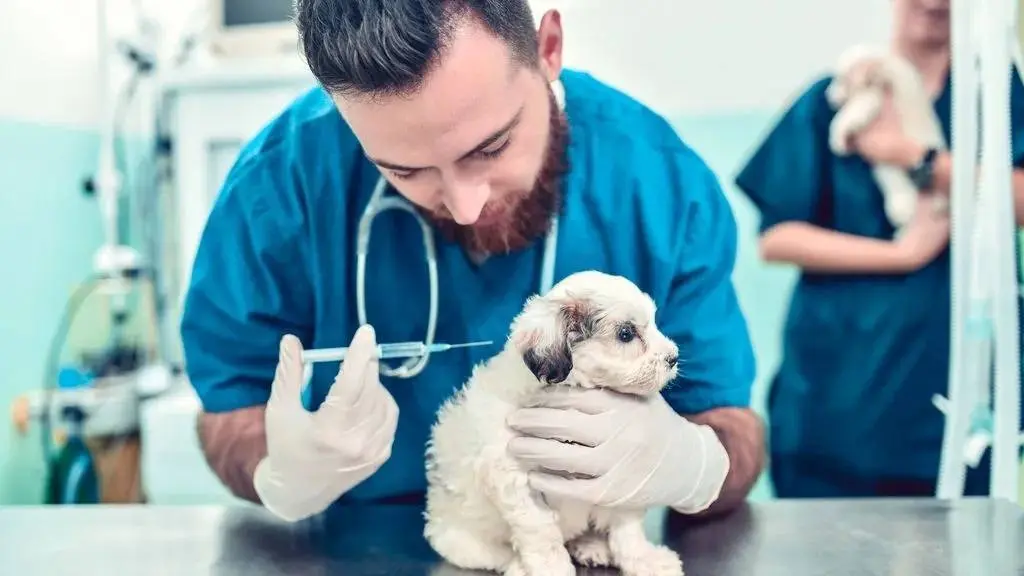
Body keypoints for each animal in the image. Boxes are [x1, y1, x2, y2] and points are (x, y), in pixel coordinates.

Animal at [423, 270, 688, 573]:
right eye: (626, 334)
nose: (673, 357)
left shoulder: (620, 475)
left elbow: (627, 529)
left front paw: (645, 560)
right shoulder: (515, 479)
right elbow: (540, 531)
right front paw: (551, 567)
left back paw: (591, 546)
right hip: (461, 539)